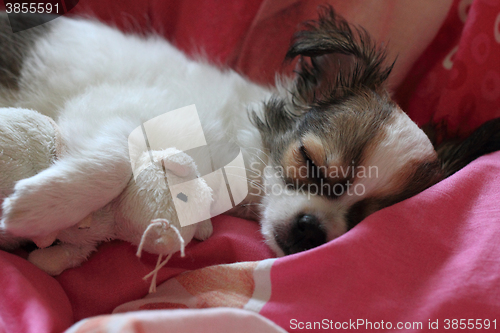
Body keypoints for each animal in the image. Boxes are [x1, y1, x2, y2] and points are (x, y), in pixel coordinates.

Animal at [0, 7, 500, 258]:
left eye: (364, 219)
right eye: (310, 163)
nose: (310, 228)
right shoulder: (113, 106)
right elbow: (115, 160)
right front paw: (40, 208)